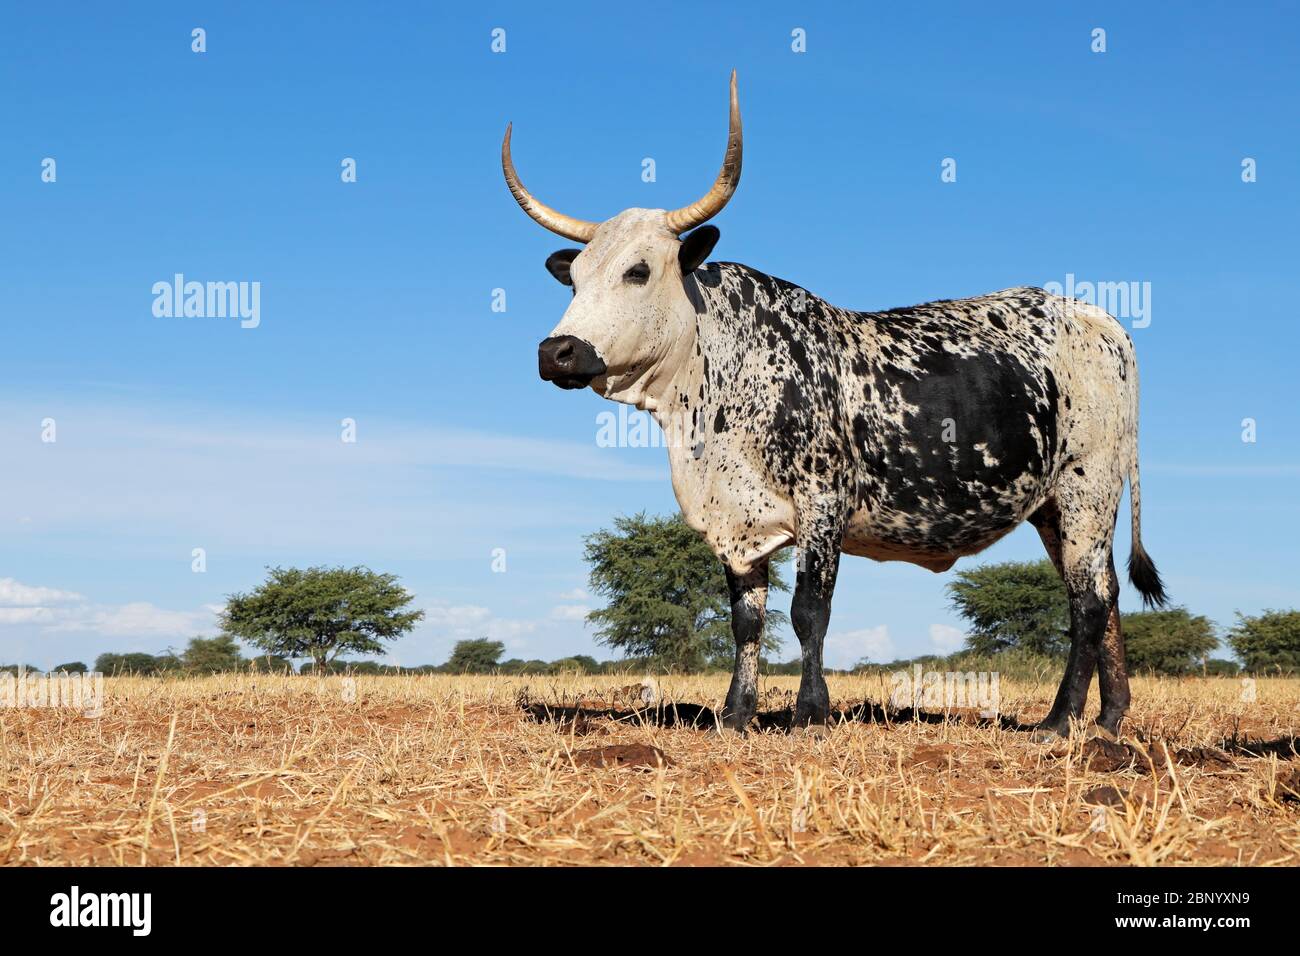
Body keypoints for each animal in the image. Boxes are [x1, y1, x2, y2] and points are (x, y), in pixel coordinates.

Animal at [499, 70, 1170, 738]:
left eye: (638, 271)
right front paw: (736, 716)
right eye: (576, 277)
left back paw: (1059, 721)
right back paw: (1110, 717)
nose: (556, 352)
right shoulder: (736, 521)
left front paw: (810, 714)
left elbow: (808, 612)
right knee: (1107, 595)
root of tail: (1097, 317)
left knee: (1088, 602)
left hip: (1086, 491)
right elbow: (747, 620)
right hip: (1056, 510)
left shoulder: (823, 504)